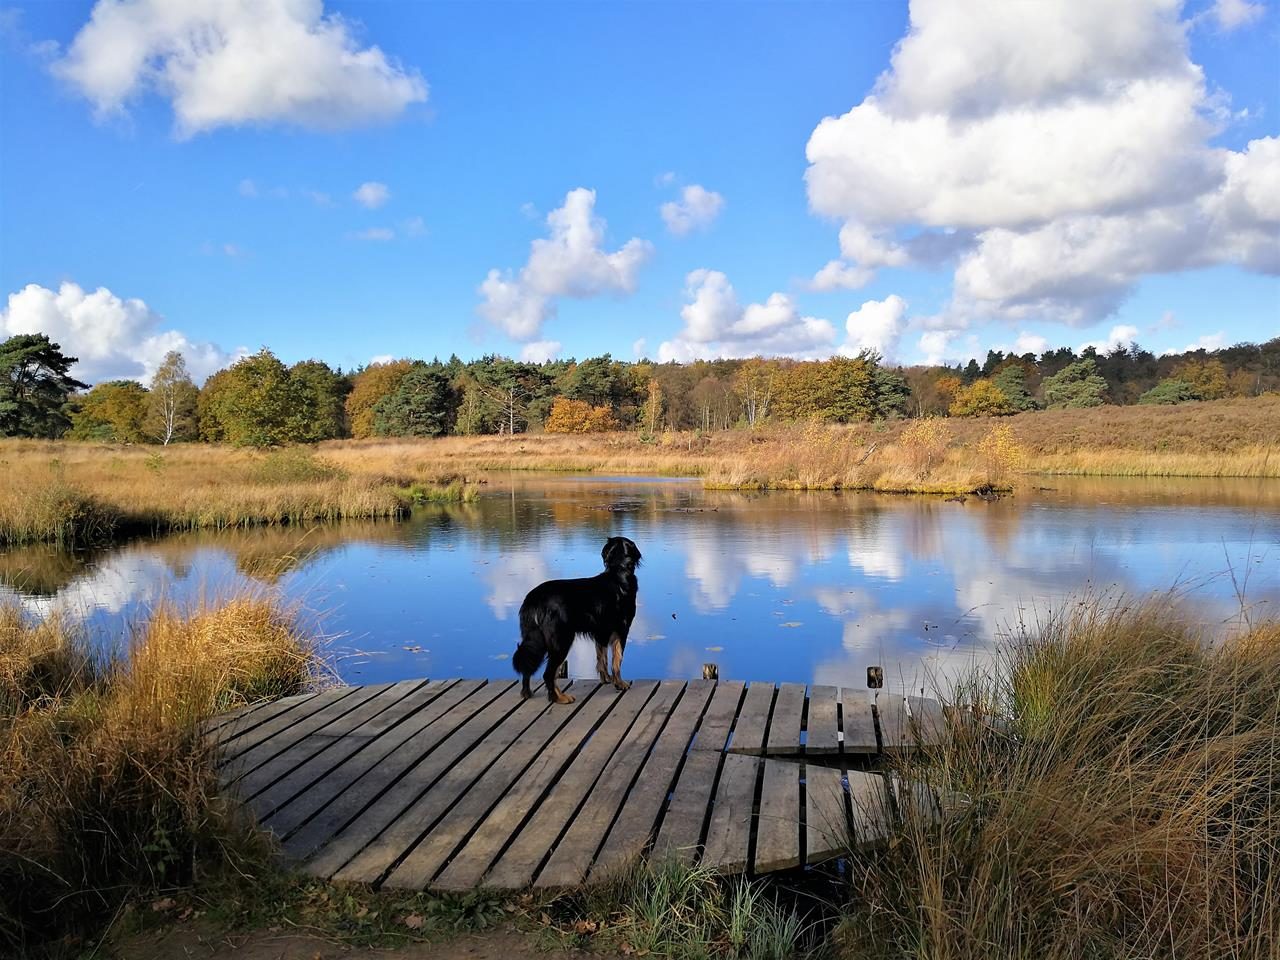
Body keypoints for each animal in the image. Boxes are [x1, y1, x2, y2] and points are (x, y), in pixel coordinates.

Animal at [512, 537, 640, 701]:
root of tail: (534, 598)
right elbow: (617, 659)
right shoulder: (622, 629)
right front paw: (620, 683)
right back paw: (560, 698)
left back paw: (527, 692)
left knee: (528, 665)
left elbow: (602, 657)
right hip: (561, 640)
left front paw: (606, 679)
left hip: (535, 638)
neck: (618, 572)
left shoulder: (601, 633)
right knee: (549, 673)